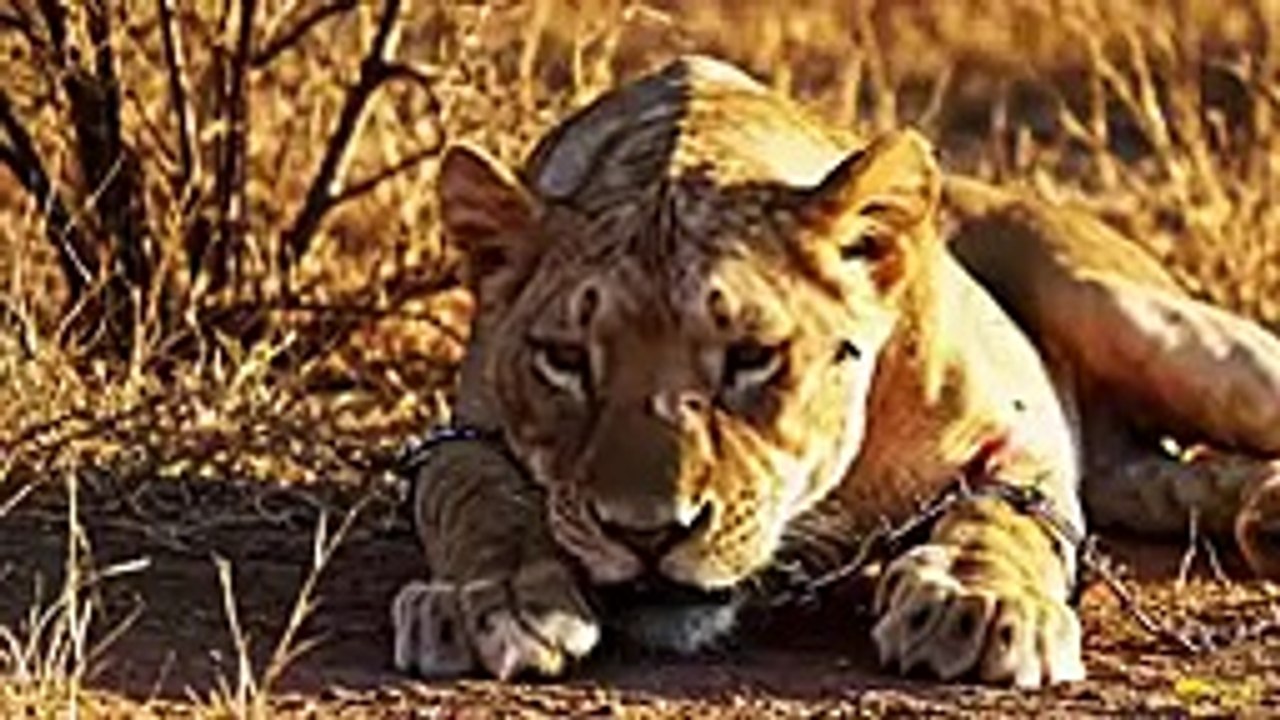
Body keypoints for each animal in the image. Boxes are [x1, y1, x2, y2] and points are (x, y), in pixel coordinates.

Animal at [391, 56, 1280, 688]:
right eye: (566, 359)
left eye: (752, 357)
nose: (646, 534)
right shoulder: (459, 430)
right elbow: (473, 488)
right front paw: (499, 599)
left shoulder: (1024, 423)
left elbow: (1003, 511)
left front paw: (978, 600)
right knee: (1160, 477)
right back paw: (1259, 517)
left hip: (1137, 317)